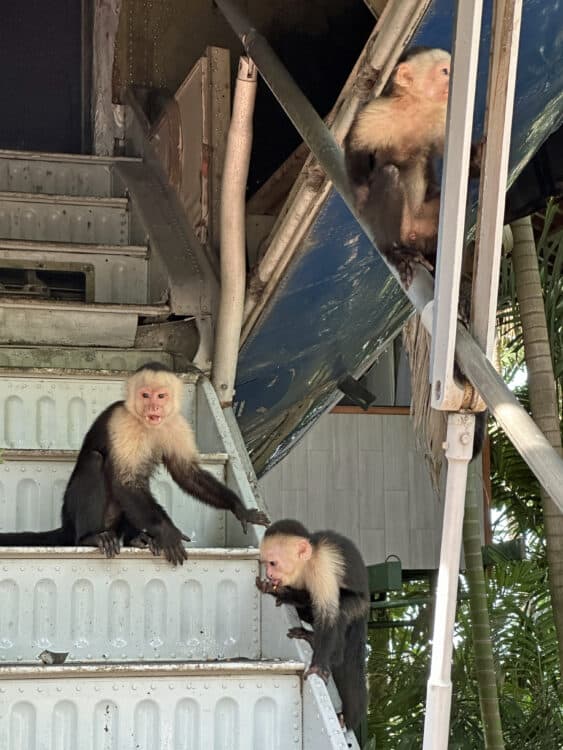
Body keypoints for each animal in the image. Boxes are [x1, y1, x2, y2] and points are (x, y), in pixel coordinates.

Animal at [0, 362, 270, 564]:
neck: (146, 423)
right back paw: (90, 538)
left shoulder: (176, 423)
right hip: (73, 514)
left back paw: (135, 538)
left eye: (161, 395)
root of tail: (66, 524)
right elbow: (124, 481)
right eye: (145, 395)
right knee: (95, 462)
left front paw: (240, 509)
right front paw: (167, 531)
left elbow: (186, 473)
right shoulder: (123, 422)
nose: (154, 406)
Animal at [256, 520, 370, 732]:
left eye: (273, 563)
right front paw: (278, 591)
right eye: (266, 563)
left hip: (358, 606)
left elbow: (328, 614)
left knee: (341, 609)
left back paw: (325, 647)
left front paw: (318, 665)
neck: (306, 565)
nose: (269, 573)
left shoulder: (323, 566)